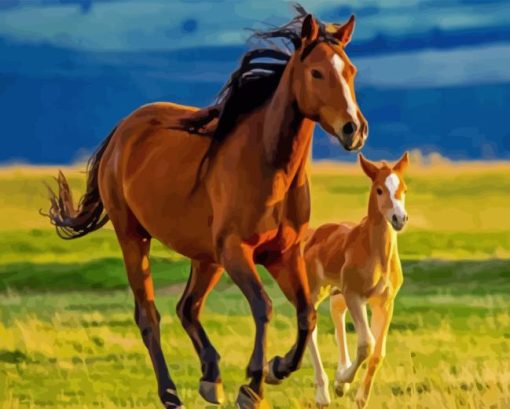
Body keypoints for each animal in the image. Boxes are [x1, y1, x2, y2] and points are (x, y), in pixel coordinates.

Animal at [44, 6, 366, 408]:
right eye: (317, 72)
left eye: (351, 71)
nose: (354, 129)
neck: (268, 165)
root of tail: (122, 130)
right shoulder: (236, 251)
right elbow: (263, 307)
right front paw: (252, 385)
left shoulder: (283, 254)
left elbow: (306, 314)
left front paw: (276, 368)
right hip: (134, 237)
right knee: (149, 315)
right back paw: (170, 393)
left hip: (205, 257)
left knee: (187, 307)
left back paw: (211, 377)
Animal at [304, 151, 408, 406]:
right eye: (379, 190)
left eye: (404, 189)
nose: (399, 219)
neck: (377, 254)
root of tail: (313, 235)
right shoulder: (355, 296)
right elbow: (366, 343)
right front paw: (341, 383)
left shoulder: (384, 302)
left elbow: (378, 352)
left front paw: (358, 396)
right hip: (316, 290)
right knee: (311, 328)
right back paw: (323, 393)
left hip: (337, 292)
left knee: (336, 314)